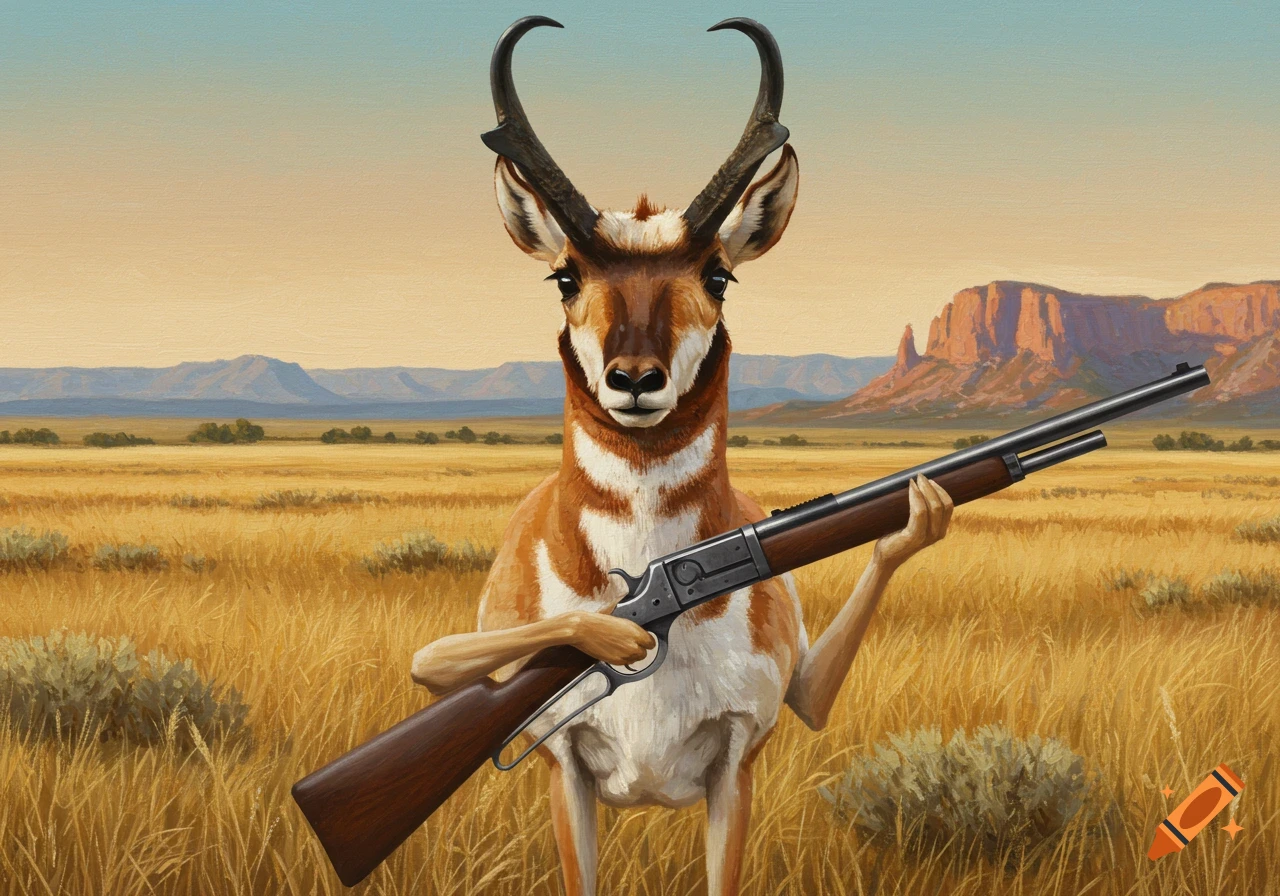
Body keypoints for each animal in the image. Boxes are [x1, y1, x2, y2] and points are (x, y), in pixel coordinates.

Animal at [411, 17, 955, 896]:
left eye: (719, 273)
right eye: (565, 276)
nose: (636, 380)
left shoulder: (738, 765)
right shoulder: (563, 769)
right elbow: (432, 664)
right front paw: (604, 635)